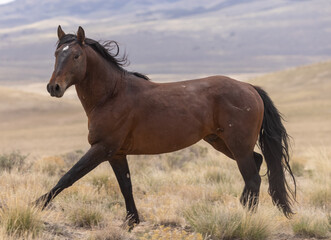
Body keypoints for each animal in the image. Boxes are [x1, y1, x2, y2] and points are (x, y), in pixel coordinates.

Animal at [35, 26, 296, 227]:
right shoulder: (116, 154)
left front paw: (36, 204)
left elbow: (68, 177)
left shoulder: (102, 148)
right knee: (257, 163)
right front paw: (132, 221)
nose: (54, 88)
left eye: (76, 56)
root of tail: (250, 88)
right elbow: (126, 186)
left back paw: (246, 218)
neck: (111, 95)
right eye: (56, 53)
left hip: (237, 146)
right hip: (221, 142)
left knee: (253, 178)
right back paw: (242, 207)